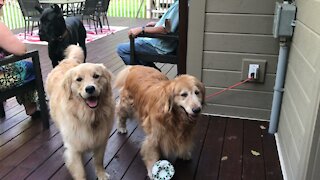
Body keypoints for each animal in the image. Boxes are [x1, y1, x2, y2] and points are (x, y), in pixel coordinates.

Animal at [45, 45, 115, 180]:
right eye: (79, 79)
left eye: (96, 76)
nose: (90, 88)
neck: (88, 116)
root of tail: (67, 61)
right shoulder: (73, 149)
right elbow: (80, 172)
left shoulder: (101, 141)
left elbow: (99, 161)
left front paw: (101, 174)